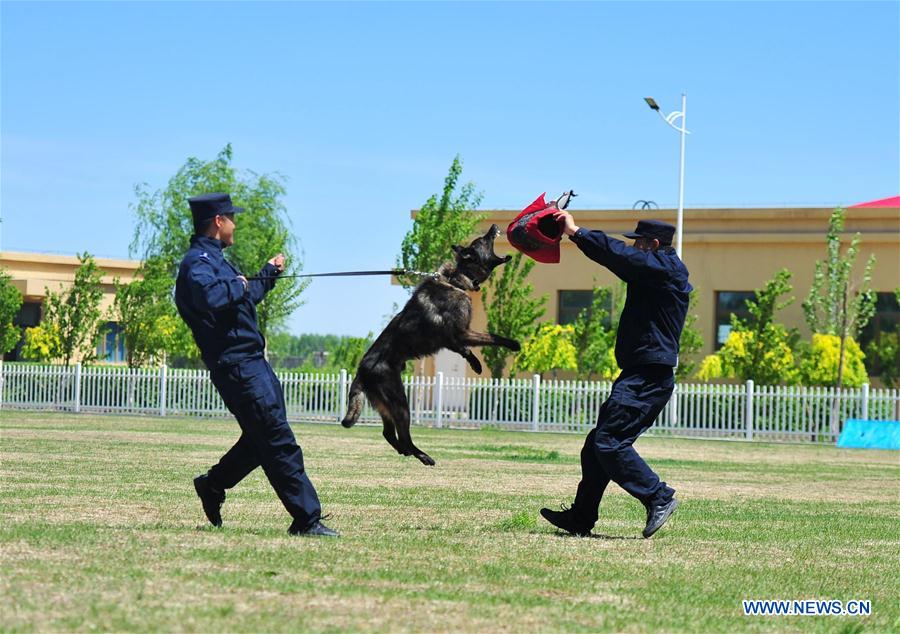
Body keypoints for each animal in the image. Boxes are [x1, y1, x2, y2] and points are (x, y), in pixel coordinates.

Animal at [342, 225, 516, 462]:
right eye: (482, 240)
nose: (495, 227)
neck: (456, 280)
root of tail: (362, 371)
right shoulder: (462, 333)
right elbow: (492, 338)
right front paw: (512, 344)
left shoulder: (454, 339)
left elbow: (466, 350)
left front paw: (476, 364)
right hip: (400, 403)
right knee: (402, 435)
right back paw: (421, 455)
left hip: (387, 405)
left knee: (388, 433)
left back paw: (406, 451)